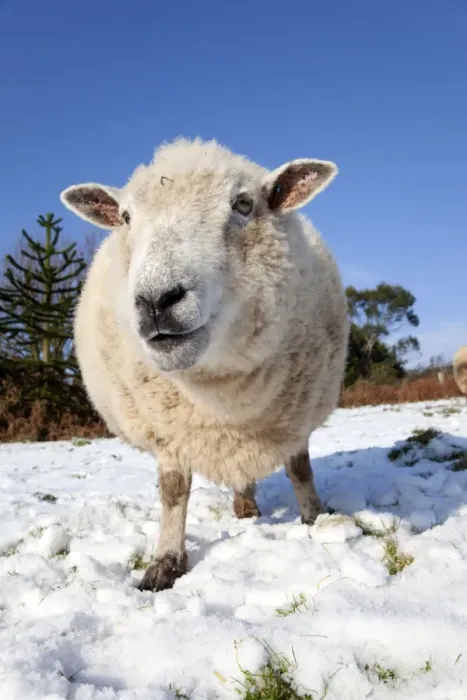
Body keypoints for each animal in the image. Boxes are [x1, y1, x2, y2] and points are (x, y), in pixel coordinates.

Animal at [60, 137, 349, 592]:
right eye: (125, 217)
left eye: (244, 204)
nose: (156, 301)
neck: (222, 394)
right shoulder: (167, 432)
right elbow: (174, 491)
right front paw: (165, 562)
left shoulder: (297, 415)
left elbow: (301, 470)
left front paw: (316, 518)